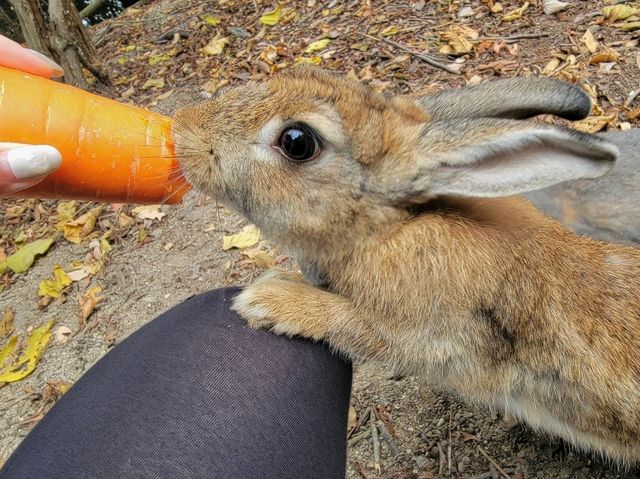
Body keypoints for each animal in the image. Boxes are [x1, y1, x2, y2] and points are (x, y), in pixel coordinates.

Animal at [171, 65, 640, 464]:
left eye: (297, 141)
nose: (181, 128)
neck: (387, 229)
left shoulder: (430, 339)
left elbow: (351, 324)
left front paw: (270, 297)